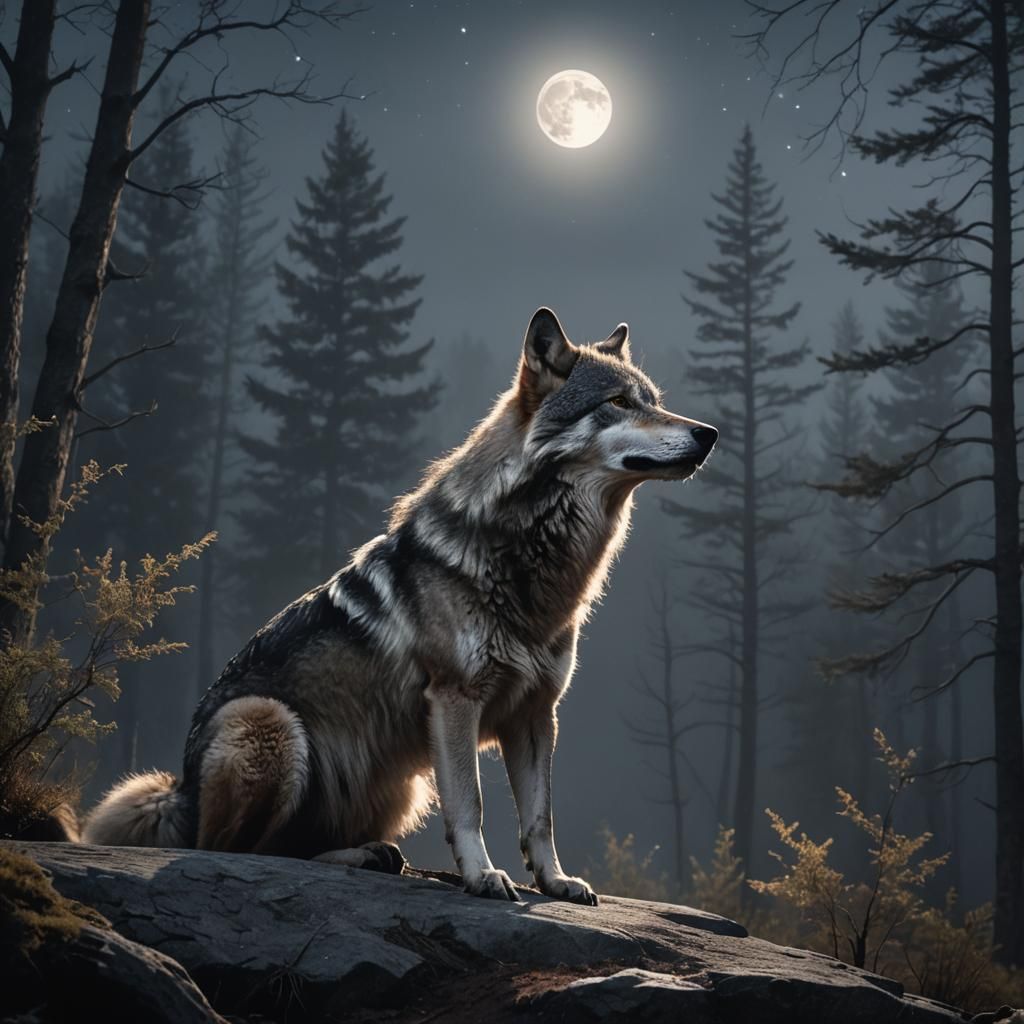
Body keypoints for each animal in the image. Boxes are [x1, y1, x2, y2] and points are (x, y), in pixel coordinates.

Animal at [83, 308, 717, 904]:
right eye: (619, 403)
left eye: (655, 402)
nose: (709, 433)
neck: (531, 562)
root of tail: (178, 791)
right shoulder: (455, 700)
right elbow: (472, 806)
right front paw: (484, 877)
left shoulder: (537, 712)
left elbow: (540, 818)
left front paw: (555, 881)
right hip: (269, 723)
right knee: (239, 851)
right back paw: (358, 856)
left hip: (398, 784)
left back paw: (372, 854)